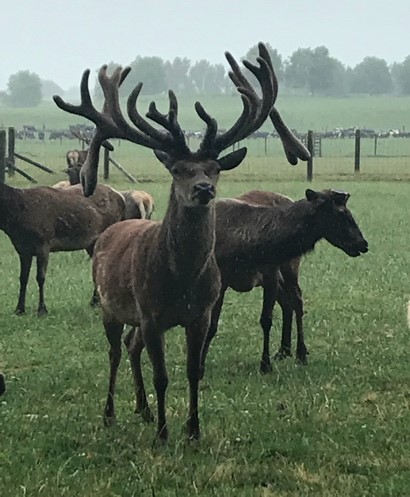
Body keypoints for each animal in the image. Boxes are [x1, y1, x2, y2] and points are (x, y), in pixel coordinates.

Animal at [0, 181, 125, 314]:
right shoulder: (22, 249)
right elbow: (23, 278)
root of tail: (121, 197)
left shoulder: (43, 242)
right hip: (91, 244)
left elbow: (40, 277)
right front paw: (19, 309)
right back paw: (94, 302)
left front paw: (42, 309)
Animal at [52, 41, 306, 438]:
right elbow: (162, 377)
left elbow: (193, 371)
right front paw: (163, 434)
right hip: (111, 307)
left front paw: (193, 429)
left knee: (130, 346)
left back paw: (141, 409)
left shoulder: (198, 315)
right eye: (177, 169)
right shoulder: (151, 315)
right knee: (113, 352)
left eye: (214, 169)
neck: (181, 279)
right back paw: (110, 413)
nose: (203, 189)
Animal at [199, 190, 368, 376]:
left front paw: (265, 365)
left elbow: (266, 320)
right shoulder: (221, 281)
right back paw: (284, 350)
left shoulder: (271, 274)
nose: (363, 244)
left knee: (297, 301)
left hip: (290, 269)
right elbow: (211, 325)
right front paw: (200, 366)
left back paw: (301, 353)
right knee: (288, 304)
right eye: (342, 214)